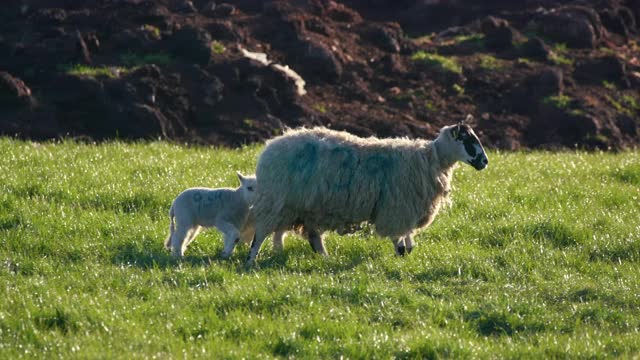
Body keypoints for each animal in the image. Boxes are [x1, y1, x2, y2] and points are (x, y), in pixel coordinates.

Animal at [245, 114, 490, 266]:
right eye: (468, 141)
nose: (485, 162)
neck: (432, 159)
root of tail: (270, 147)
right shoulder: (396, 208)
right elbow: (400, 241)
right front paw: (400, 258)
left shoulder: (406, 208)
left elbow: (409, 238)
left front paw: (408, 253)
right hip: (275, 201)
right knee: (260, 235)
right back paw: (250, 262)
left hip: (308, 207)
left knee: (314, 237)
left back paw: (325, 258)